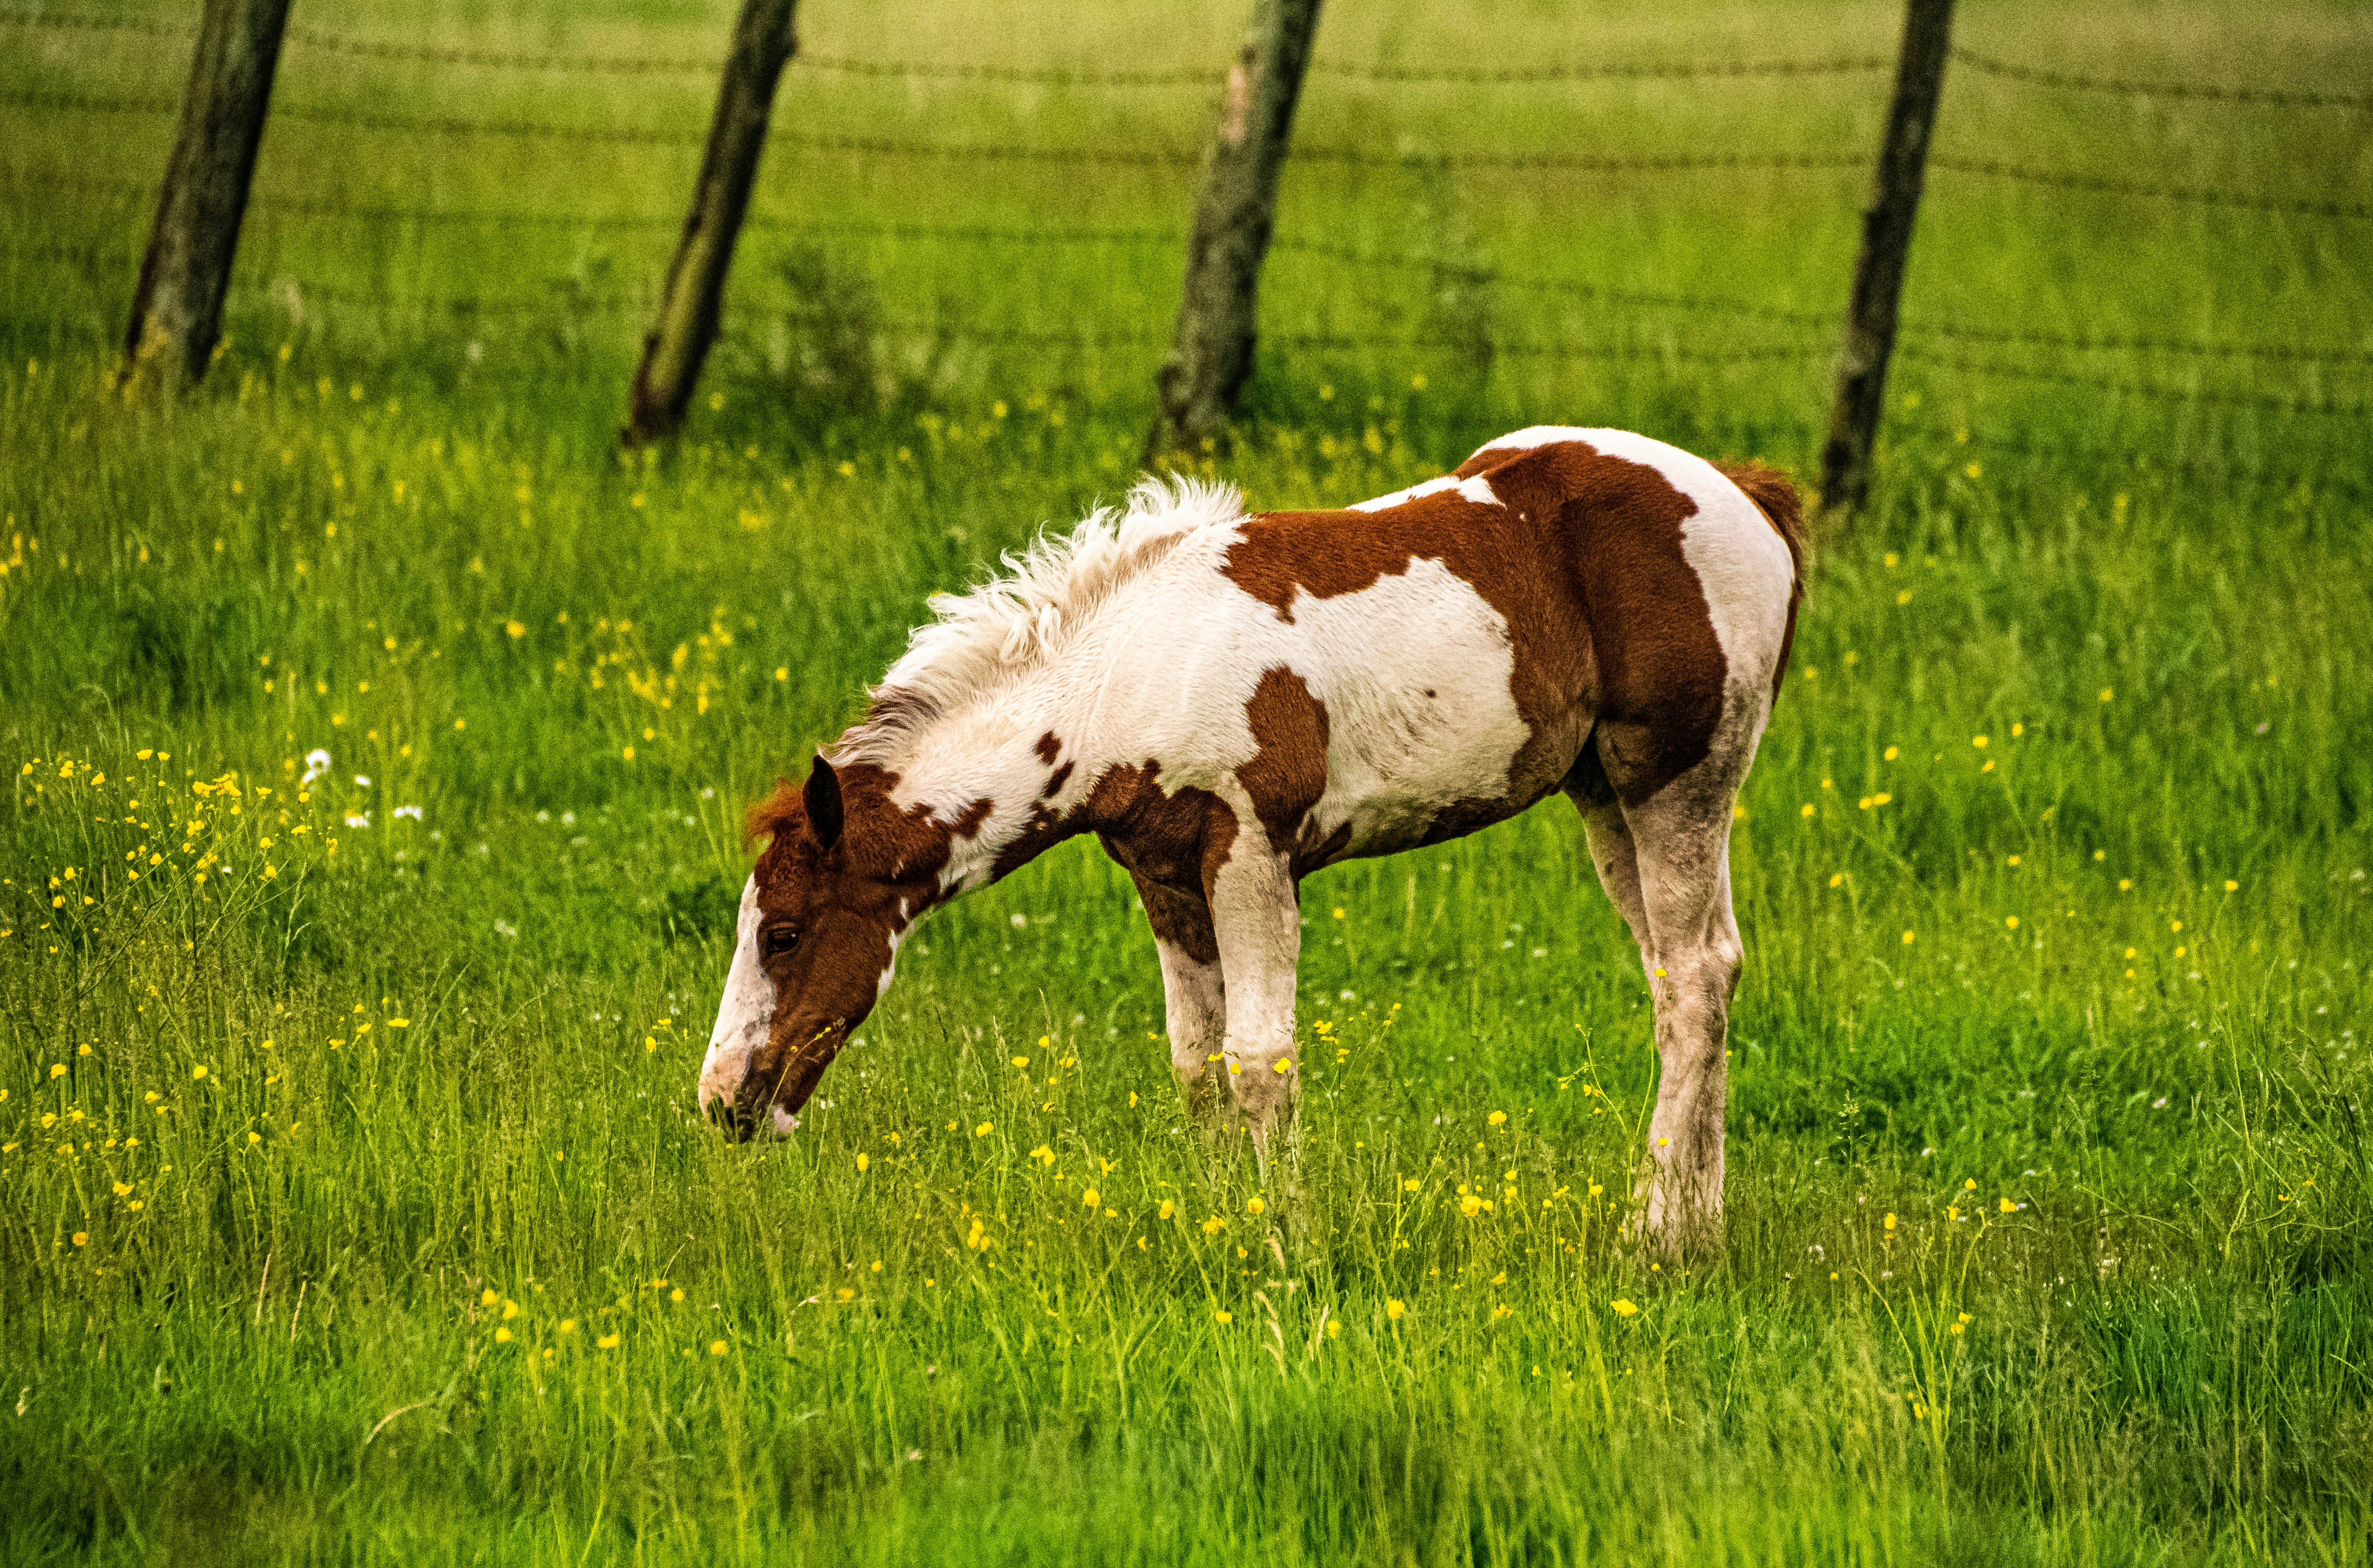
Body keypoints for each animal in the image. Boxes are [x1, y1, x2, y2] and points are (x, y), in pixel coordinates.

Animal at [700, 426, 1805, 1243]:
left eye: (784, 932)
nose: (721, 1103)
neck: (1123, 680)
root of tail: (1744, 494)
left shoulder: (1250, 853)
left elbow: (1259, 1059)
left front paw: (1286, 1243)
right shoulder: (1164, 876)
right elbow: (1197, 1066)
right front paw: (1223, 1226)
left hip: (1676, 777)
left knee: (1697, 972)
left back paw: (1652, 1237)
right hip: (1602, 794)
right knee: (1688, 976)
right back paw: (1696, 1228)